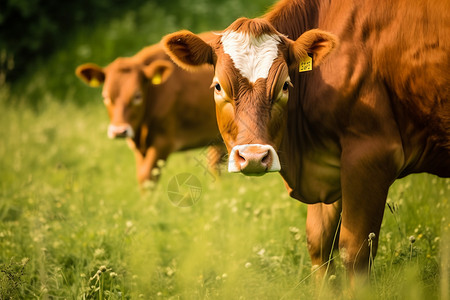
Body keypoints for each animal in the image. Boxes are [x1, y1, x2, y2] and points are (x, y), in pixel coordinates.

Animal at [163, 0, 450, 280]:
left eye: (285, 85)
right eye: (218, 86)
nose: (254, 157)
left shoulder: (372, 156)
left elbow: (355, 251)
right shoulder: (330, 163)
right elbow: (319, 244)